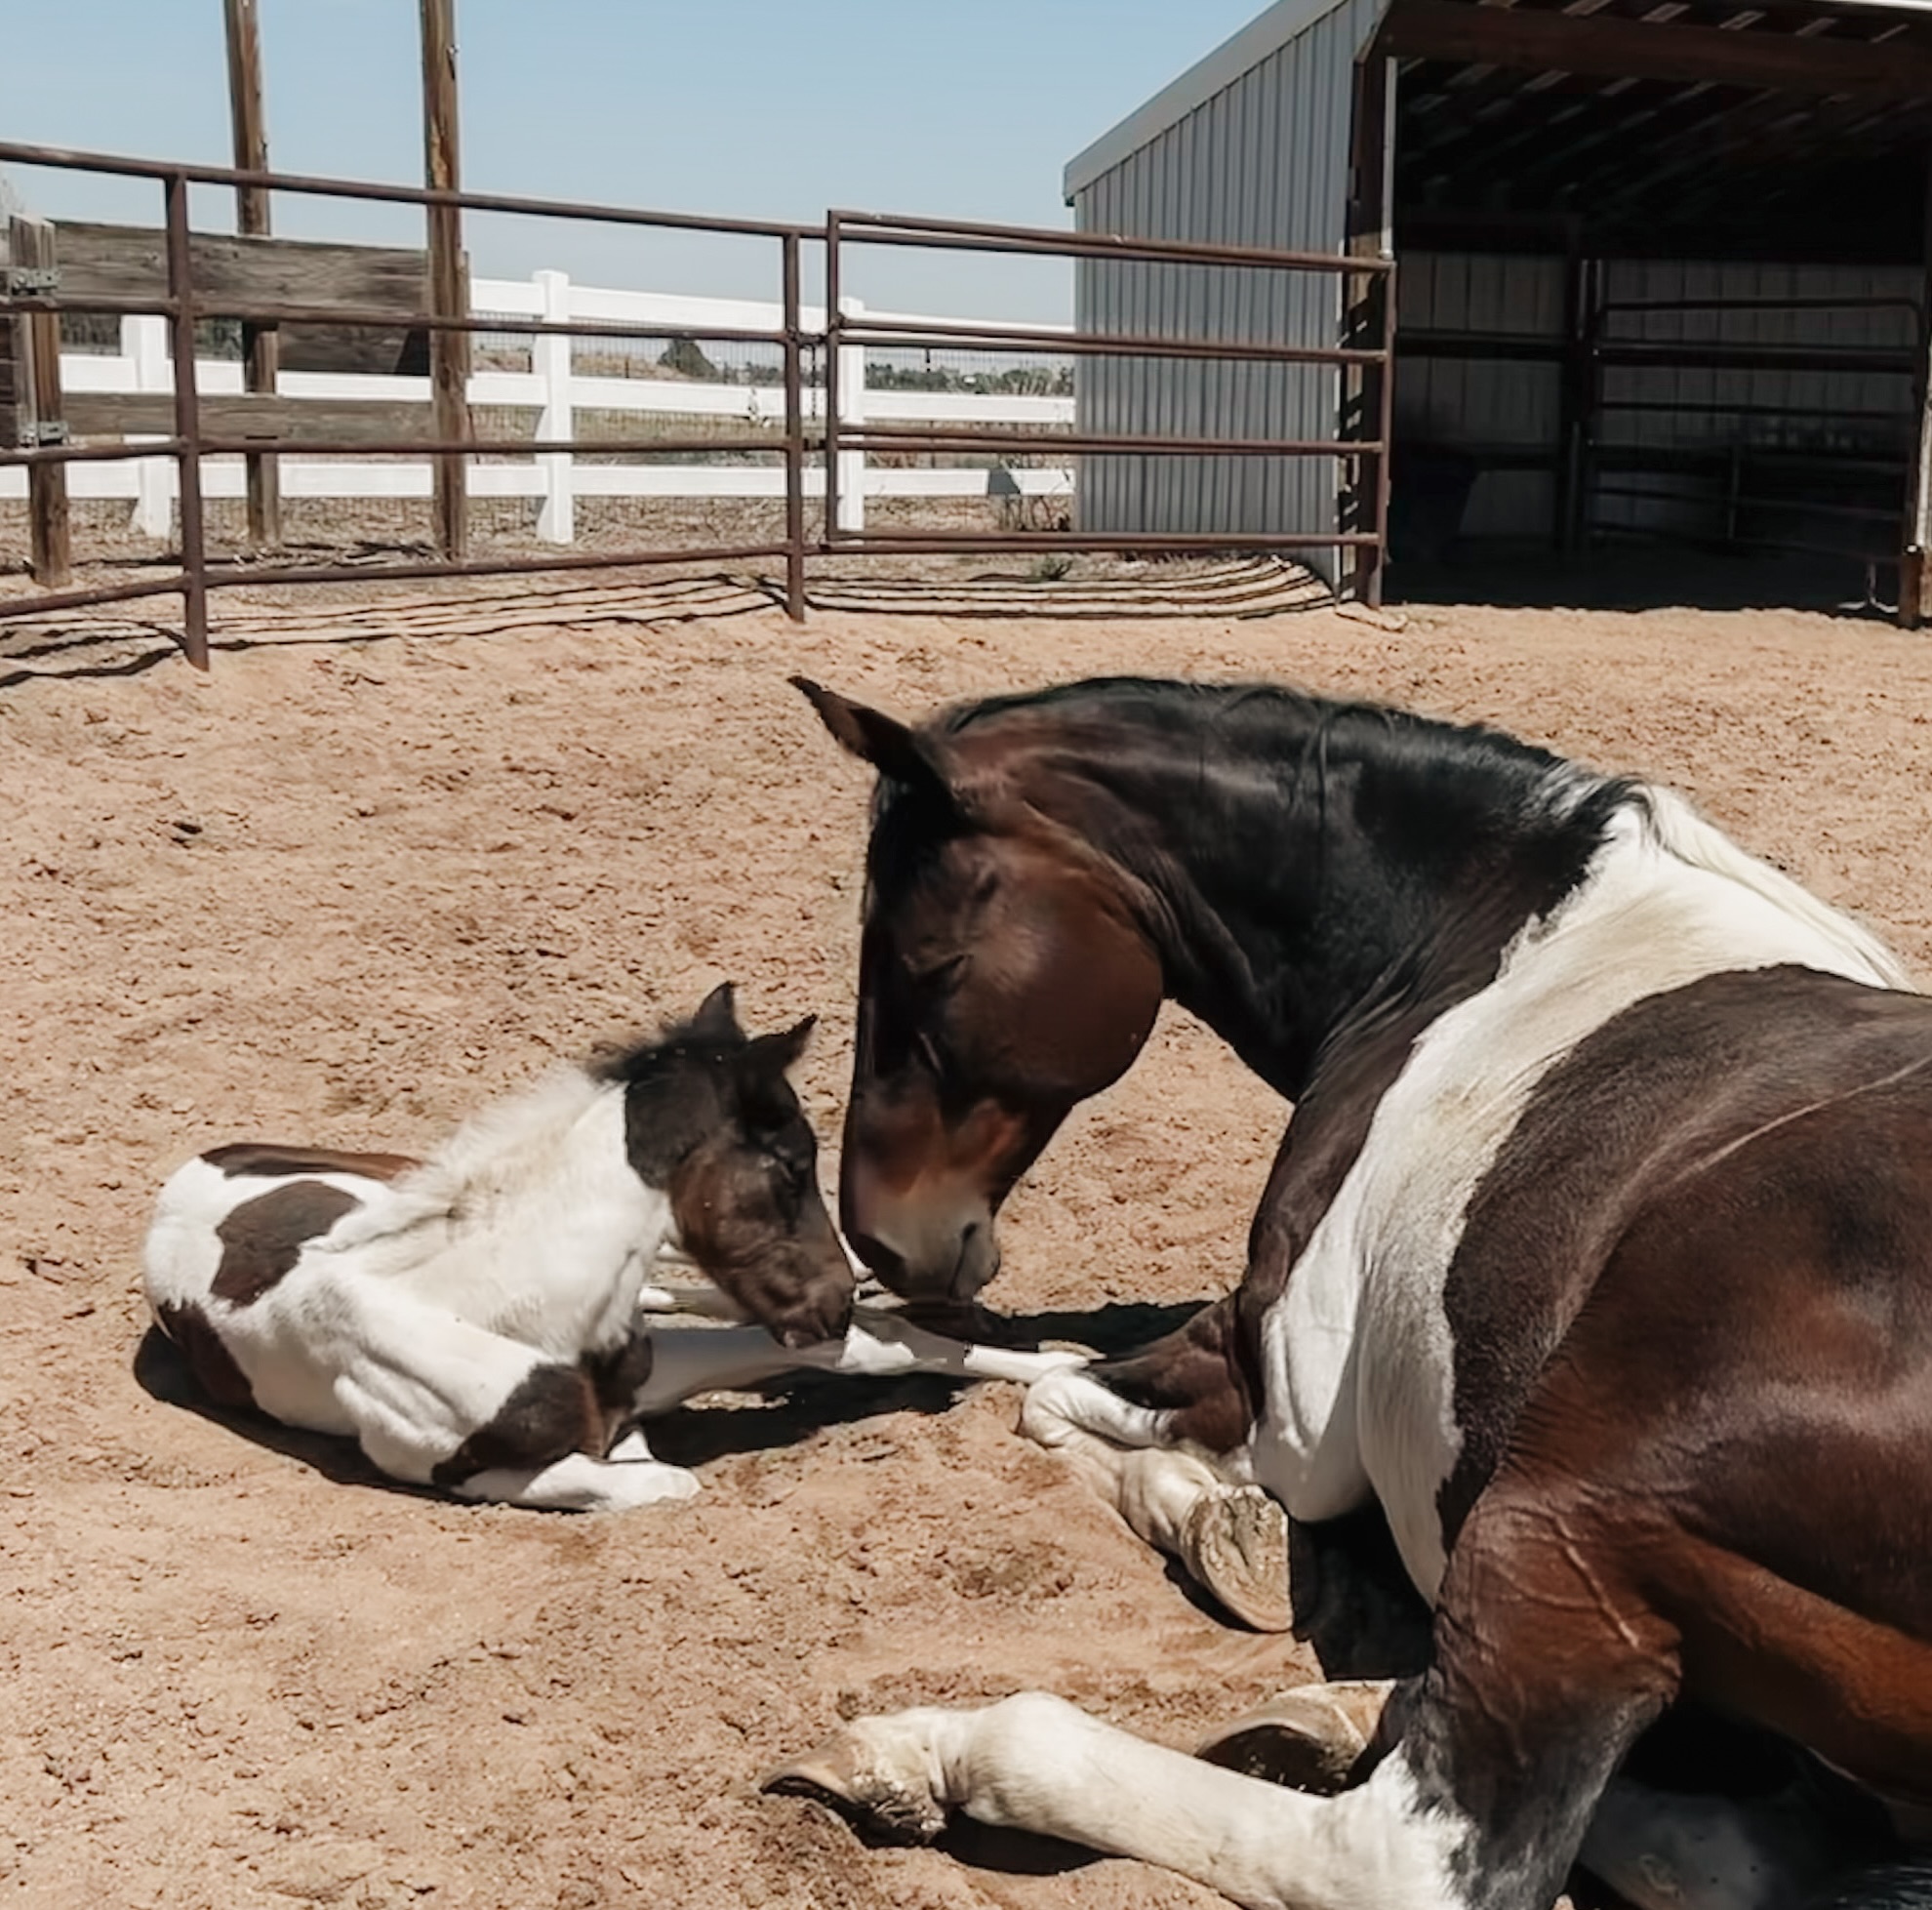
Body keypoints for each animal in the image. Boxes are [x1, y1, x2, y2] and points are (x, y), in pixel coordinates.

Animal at [143, 983, 1082, 1512]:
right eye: (792, 1162)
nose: (829, 1302)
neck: (496, 1309)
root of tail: (186, 1175)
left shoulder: (658, 1358)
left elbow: (881, 1351)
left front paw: (1058, 1364)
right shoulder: (448, 1469)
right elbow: (657, 1478)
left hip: (396, 1178)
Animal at [767, 677, 1932, 1910]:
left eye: (926, 963)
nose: (879, 1240)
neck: (1496, 939)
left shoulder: (1286, 1395)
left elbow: (1049, 1398)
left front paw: (1216, 1521)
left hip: (1558, 1535)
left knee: (1394, 1858)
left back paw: (937, 1750)